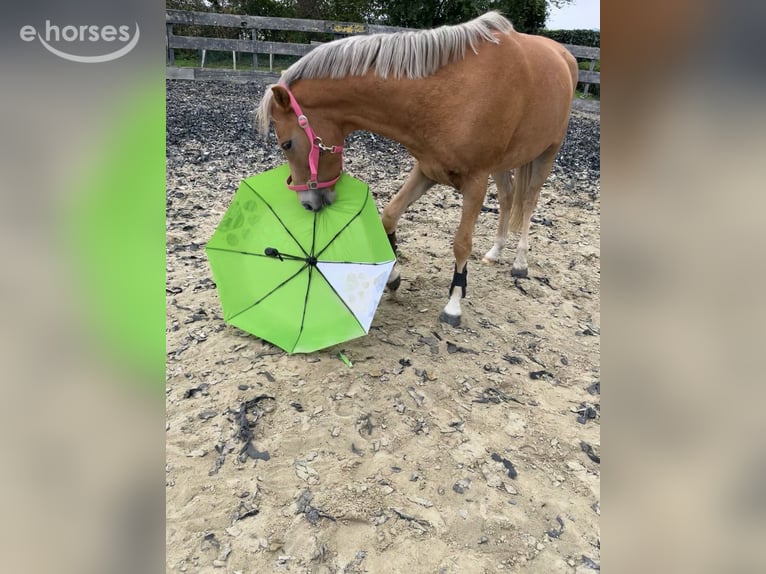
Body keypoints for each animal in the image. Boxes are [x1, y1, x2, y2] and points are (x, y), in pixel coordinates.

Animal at [255, 11, 578, 326]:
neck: (449, 94)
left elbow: (462, 244)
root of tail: (564, 56)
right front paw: (393, 277)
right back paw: (496, 251)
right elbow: (389, 216)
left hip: (547, 153)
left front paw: (453, 304)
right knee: (509, 198)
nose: (308, 204)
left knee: (529, 201)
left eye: (286, 143)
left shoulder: (475, 181)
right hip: (504, 164)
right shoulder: (427, 171)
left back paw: (520, 263)